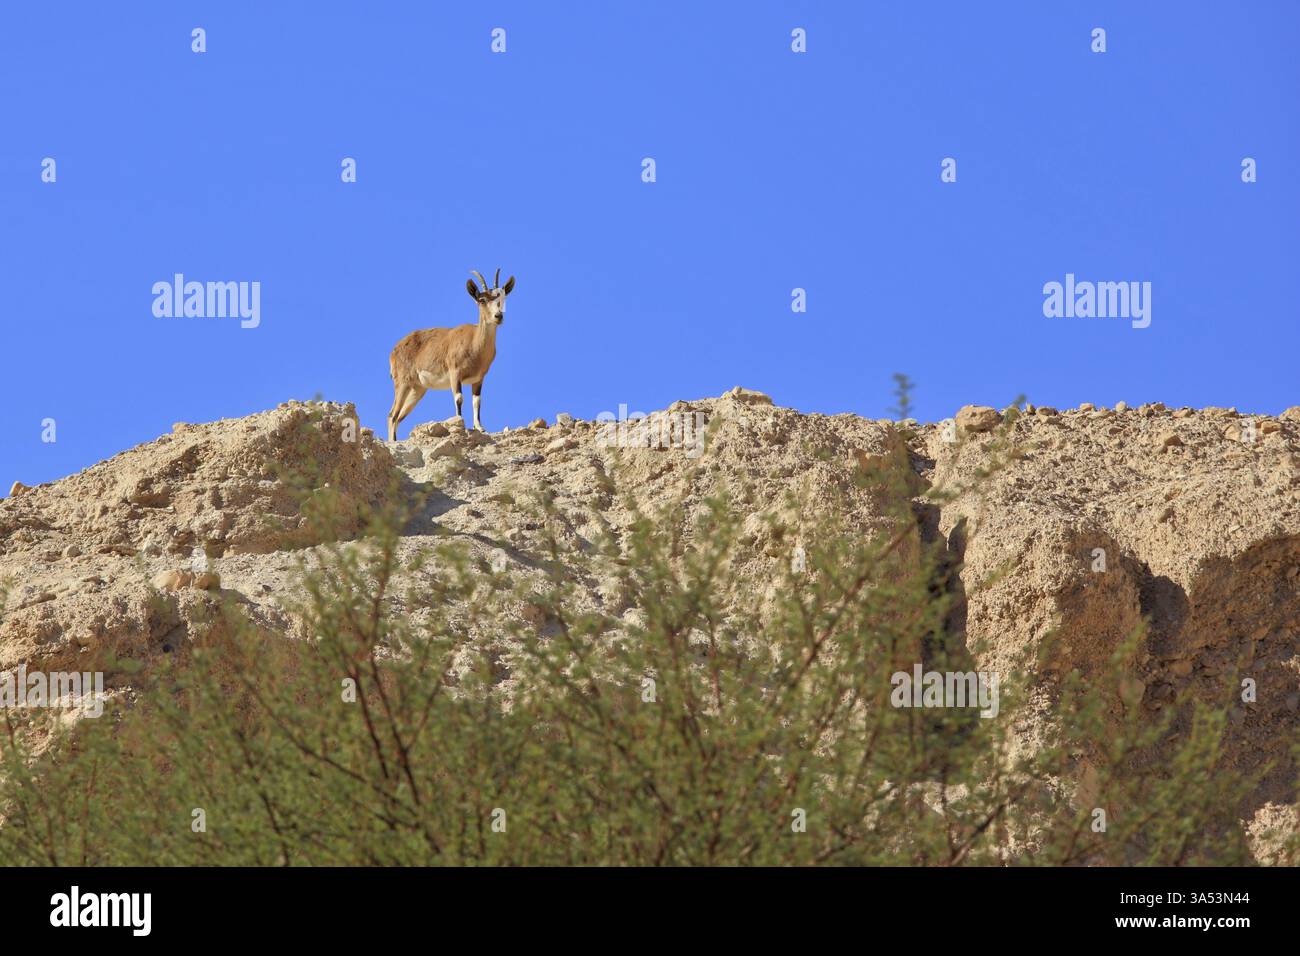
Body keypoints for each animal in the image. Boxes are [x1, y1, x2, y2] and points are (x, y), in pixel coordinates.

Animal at [388, 269, 515, 441]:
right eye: (481, 300)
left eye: (501, 298)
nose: (498, 316)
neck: (475, 345)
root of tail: (394, 350)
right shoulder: (455, 373)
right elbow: (459, 399)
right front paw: (460, 424)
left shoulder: (479, 379)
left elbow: (477, 401)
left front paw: (480, 427)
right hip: (402, 382)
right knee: (392, 415)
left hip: (417, 389)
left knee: (399, 417)